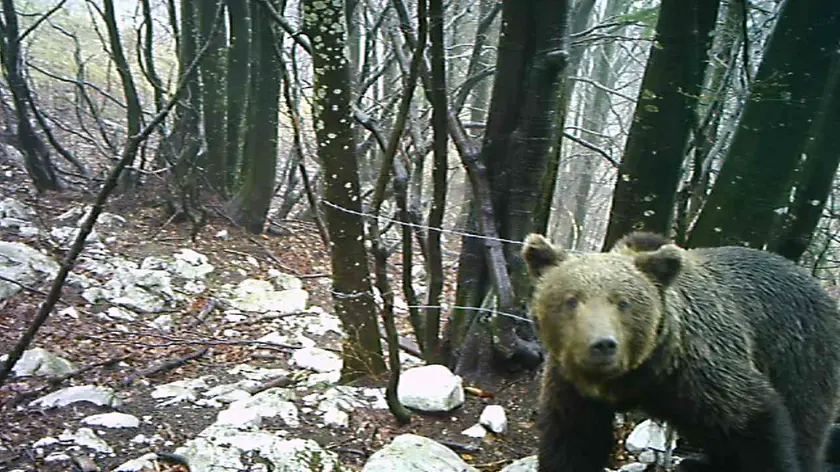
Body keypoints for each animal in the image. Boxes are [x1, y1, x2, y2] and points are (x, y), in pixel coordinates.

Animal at [521, 232, 840, 472]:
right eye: (571, 300)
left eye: (623, 302)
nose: (603, 344)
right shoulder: (572, 388)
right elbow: (572, 441)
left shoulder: (700, 370)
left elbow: (758, 424)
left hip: (800, 355)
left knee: (805, 423)